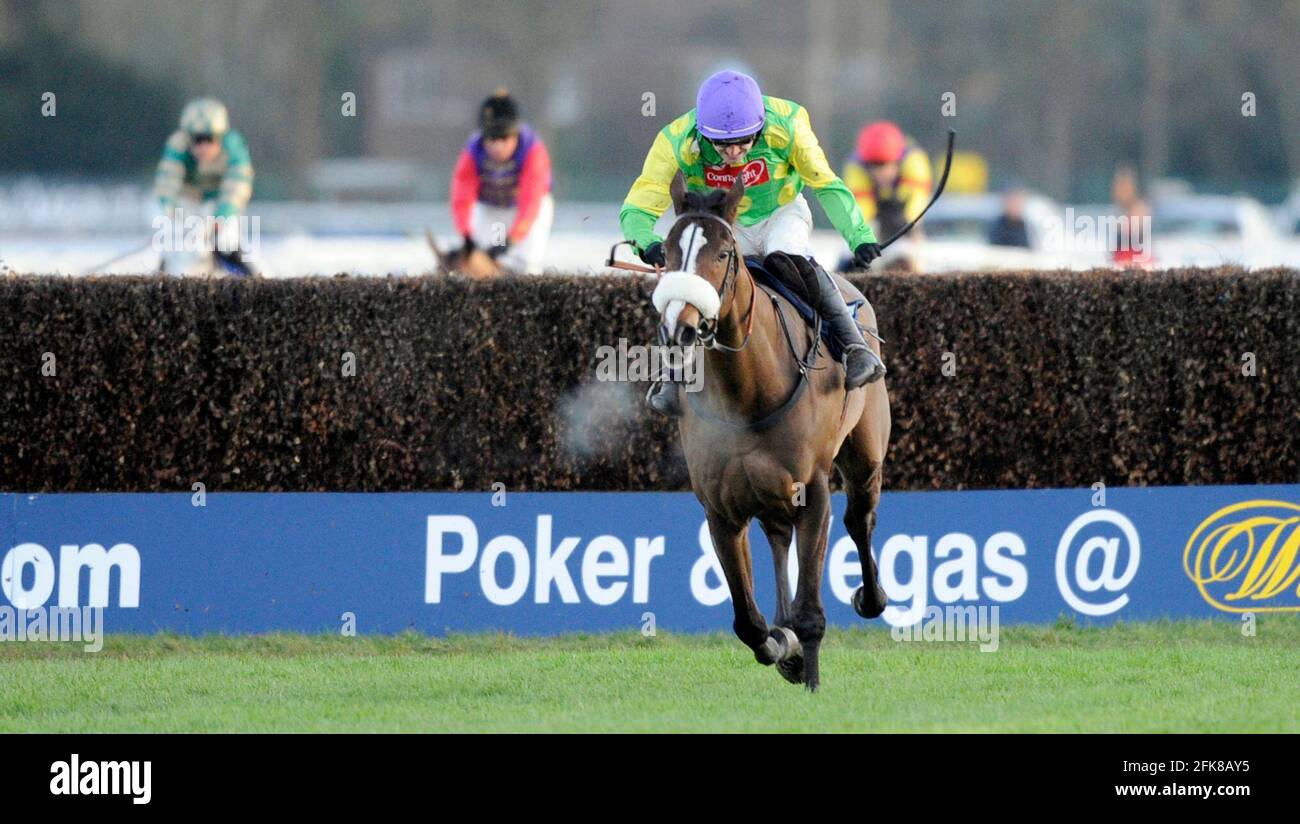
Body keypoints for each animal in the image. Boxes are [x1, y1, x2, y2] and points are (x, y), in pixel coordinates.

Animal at [650, 172, 894, 686]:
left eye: (724, 253)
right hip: (767, 492)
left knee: (859, 519)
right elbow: (747, 621)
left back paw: (871, 597)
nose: (679, 328)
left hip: (864, 456)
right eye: (667, 251)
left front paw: (810, 671)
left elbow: (811, 612)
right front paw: (784, 646)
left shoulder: (813, 490)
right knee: (778, 537)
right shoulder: (720, 507)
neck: (748, 392)